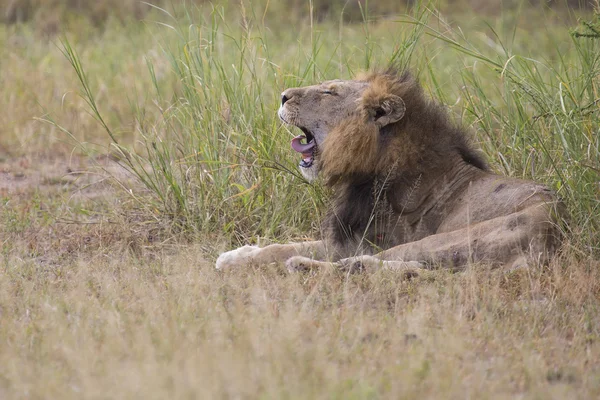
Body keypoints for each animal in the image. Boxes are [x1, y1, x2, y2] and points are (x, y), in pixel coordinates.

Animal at [217, 69, 568, 276]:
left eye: (330, 92)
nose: (283, 96)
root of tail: (555, 233)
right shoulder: (351, 236)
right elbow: (285, 243)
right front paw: (239, 252)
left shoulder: (366, 239)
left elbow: (286, 249)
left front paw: (240, 259)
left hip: (448, 239)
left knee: (370, 264)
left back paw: (306, 267)